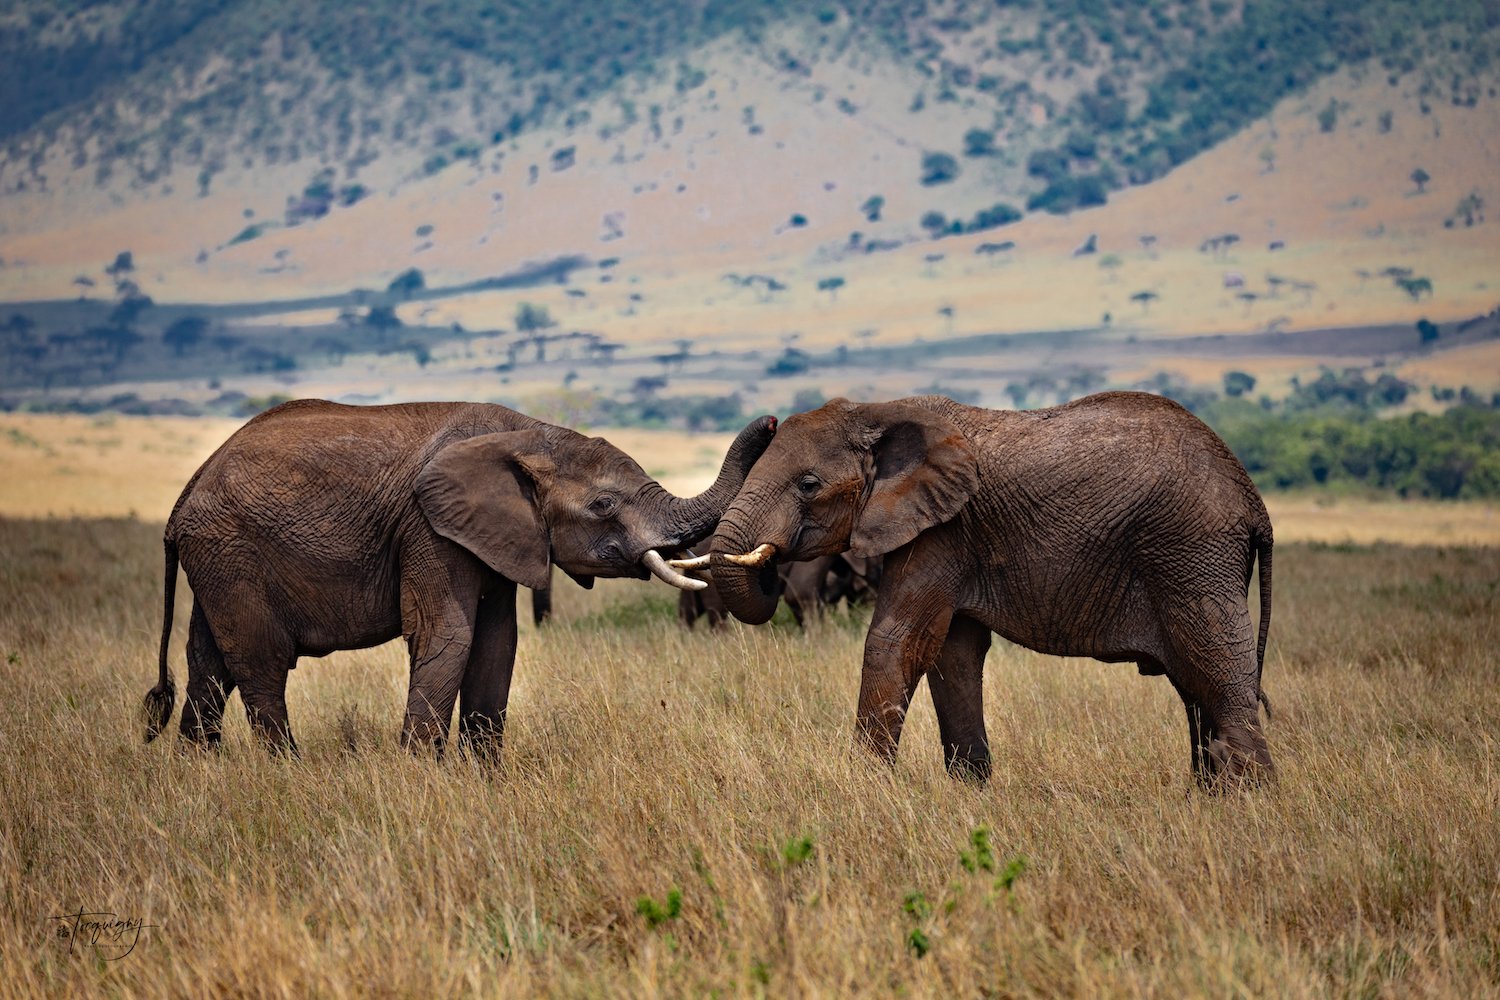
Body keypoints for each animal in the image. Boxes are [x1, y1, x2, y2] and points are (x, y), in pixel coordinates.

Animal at [142, 399, 776, 757]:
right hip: (230, 552)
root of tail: (181, 498)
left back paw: (197, 771)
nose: (771, 421)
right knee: (260, 663)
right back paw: (287, 773)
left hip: (219, 559)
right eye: (602, 505)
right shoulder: (429, 527)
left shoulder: (493, 536)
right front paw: (419, 777)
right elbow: (448, 635)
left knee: (209, 666)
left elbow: (498, 643)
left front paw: (485, 777)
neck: (527, 434)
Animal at [684, 392, 1274, 789]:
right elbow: (953, 655)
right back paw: (1208, 796)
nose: (768, 418)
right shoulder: (949, 535)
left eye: (808, 485)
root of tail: (1254, 502)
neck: (879, 410)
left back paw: (1245, 802)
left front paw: (863, 789)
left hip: (1193, 555)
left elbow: (896, 641)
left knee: (1216, 669)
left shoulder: (943, 528)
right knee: (1197, 686)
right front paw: (971, 790)